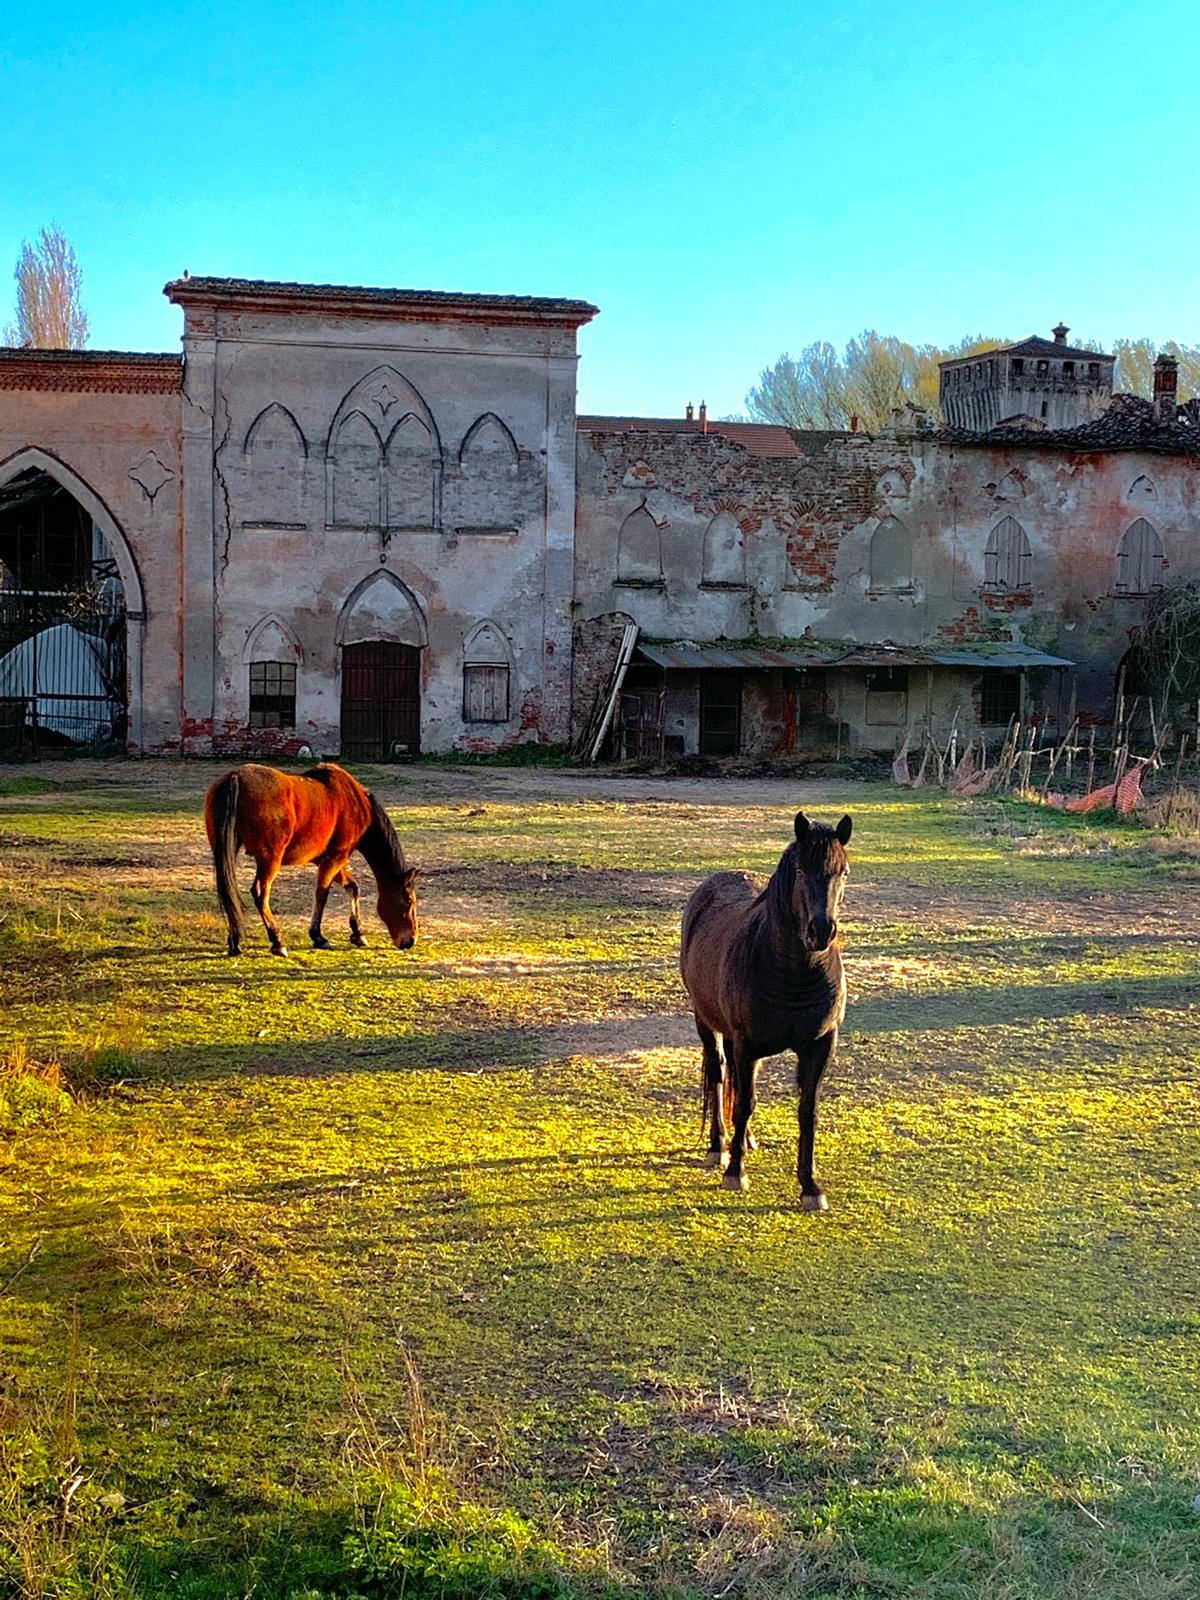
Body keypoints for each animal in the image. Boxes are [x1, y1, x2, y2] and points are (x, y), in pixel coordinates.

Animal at [204, 762, 418, 957]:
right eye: (408, 901)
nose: (411, 940)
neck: (357, 804)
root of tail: (235, 777)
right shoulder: (334, 858)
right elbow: (321, 895)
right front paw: (318, 936)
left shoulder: (331, 860)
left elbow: (352, 887)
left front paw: (357, 933)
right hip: (269, 860)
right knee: (260, 894)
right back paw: (277, 941)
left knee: (227, 891)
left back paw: (235, 942)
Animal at [680, 810, 852, 1207]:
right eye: (801, 871)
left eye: (843, 872)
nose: (821, 931)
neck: (795, 973)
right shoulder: (746, 1044)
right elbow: (744, 1102)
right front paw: (734, 1172)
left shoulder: (820, 1045)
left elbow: (807, 1111)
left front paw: (810, 1186)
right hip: (707, 1024)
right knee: (719, 1074)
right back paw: (719, 1147)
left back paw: (744, 1139)